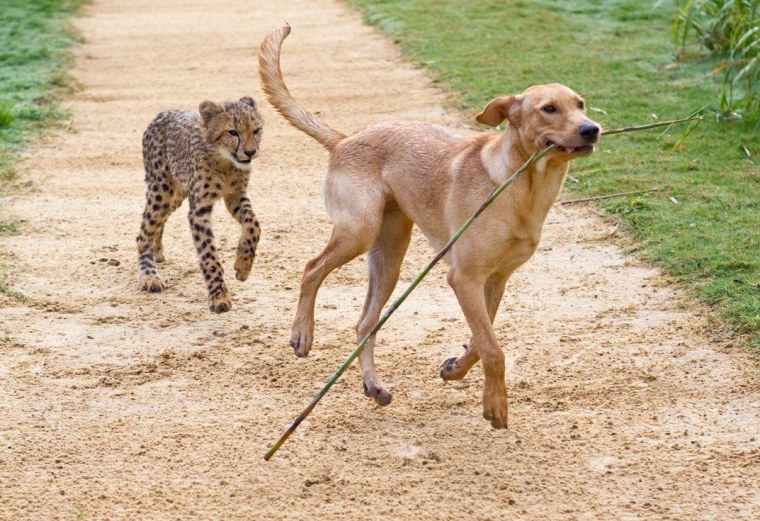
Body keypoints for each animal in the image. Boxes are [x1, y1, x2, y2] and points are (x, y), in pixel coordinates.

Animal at [137, 95, 264, 310]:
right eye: (232, 132)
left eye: (256, 130)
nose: (250, 152)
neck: (225, 160)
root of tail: (164, 113)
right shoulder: (200, 209)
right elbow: (208, 254)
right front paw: (219, 296)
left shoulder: (236, 195)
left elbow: (253, 224)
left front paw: (243, 266)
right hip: (161, 190)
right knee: (144, 231)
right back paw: (149, 276)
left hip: (176, 194)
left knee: (160, 220)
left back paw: (157, 250)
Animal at [260, 25, 600, 426]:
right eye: (549, 108)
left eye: (580, 104)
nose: (592, 130)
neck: (520, 186)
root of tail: (345, 139)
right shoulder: (464, 278)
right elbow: (492, 347)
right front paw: (495, 404)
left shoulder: (495, 281)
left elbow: (480, 341)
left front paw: (455, 369)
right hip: (359, 232)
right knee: (312, 269)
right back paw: (302, 334)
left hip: (389, 257)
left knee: (365, 323)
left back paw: (372, 384)